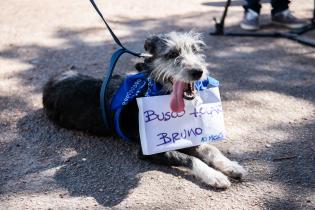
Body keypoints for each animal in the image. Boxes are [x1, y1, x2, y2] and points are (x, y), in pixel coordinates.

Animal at [42, 31, 247, 189]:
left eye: (196, 50)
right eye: (172, 54)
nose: (198, 71)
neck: (157, 93)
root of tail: (52, 80)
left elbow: (210, 148)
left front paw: (230, 166)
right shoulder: (151, 149)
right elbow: (191, 159)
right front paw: (215, 176)